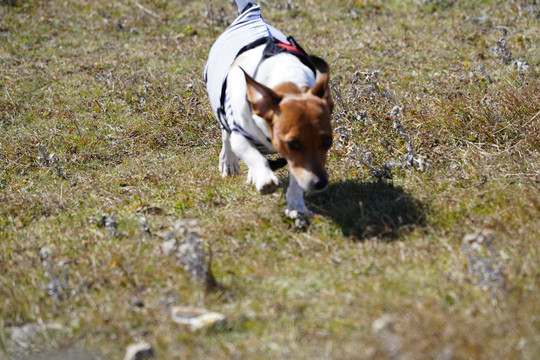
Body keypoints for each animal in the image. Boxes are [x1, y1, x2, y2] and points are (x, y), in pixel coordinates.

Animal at [206, 0, 334, 221]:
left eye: (328, 141)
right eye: (293, 143)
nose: (320, 183)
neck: (287, 82)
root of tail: (250, 11)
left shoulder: (297, 160)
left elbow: (296, 179)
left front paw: (296, 205)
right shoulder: (241, 136)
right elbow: (252, 155)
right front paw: (264, 178)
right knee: (226, 134)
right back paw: (230, 162)